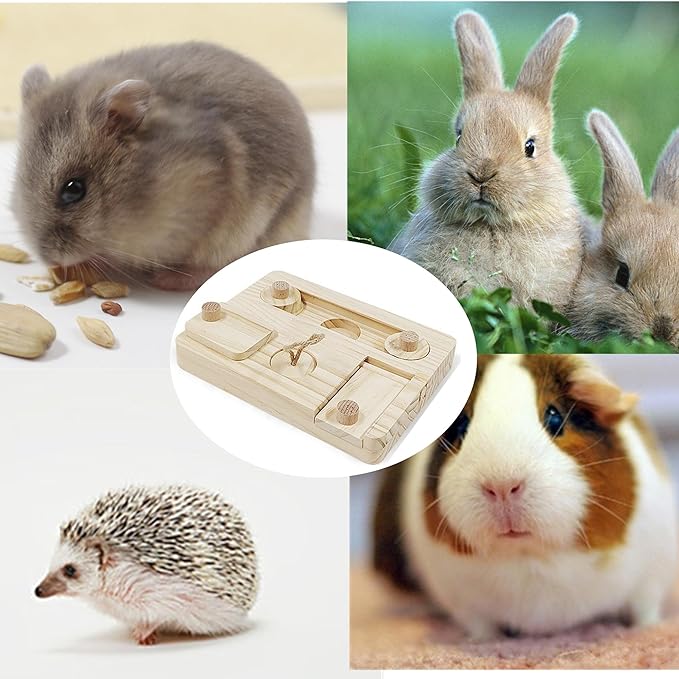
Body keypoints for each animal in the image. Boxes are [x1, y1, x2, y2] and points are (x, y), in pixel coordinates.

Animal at [373, 354, 678, 640]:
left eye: (554, 418)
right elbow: (481, 626)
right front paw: (484, 642)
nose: (502, 486)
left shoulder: (650, 578)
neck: (530, 557)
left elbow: (644, 608)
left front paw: (648, 629)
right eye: (461, 427)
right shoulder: (463, 601)